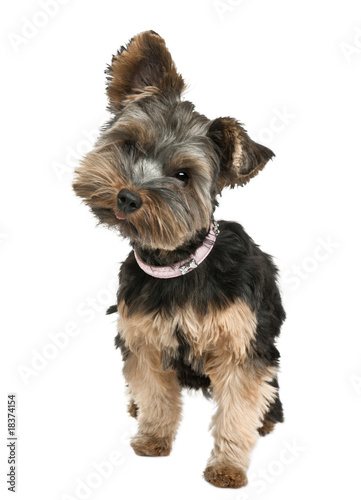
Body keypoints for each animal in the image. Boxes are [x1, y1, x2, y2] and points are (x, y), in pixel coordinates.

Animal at [72, 31, 284, 488]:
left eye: (184, 176)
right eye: (129, 145)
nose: (128, 196)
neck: (178, 266)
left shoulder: (240, 347)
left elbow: (238, 408)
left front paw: (227, 467)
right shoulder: (144, 339)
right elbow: (155, 392)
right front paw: (152, 437)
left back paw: (268, 419)